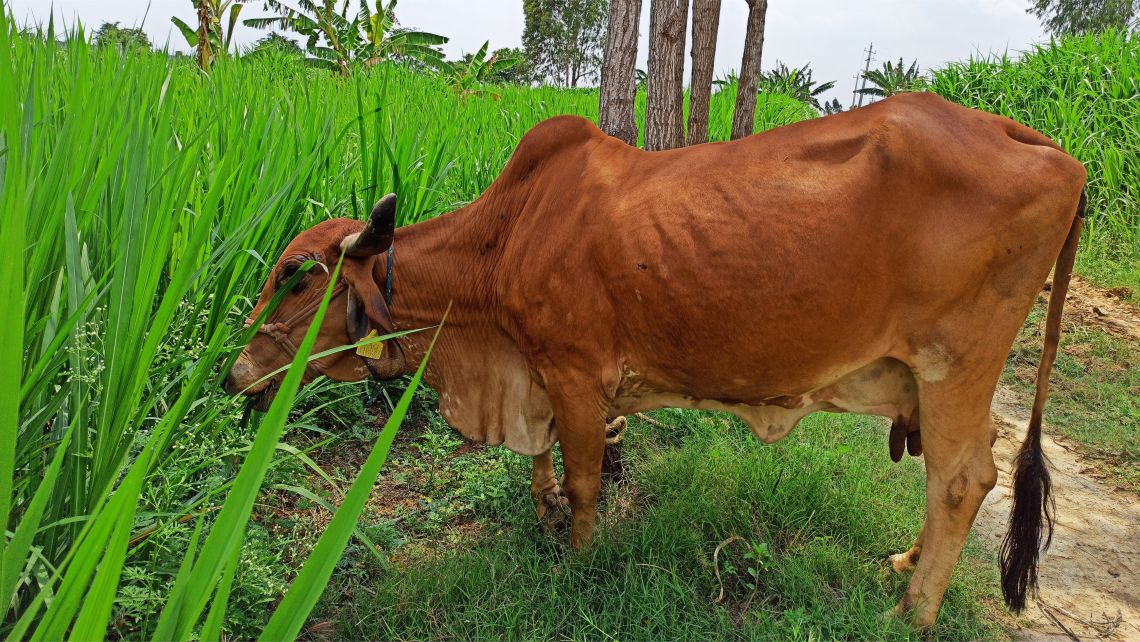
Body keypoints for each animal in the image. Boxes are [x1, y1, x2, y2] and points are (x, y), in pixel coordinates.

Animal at [224, 92, 1085, 624]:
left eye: (296, 274)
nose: (236, 374)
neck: (505, 239)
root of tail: (1045, 147)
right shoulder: (540, 372)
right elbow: (541, 461)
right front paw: (541, 510)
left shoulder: (574, 371)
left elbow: (582, 476)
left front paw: (576, 559)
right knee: (955, 477)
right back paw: (907, 563)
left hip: (955, 364)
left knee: (963, 478)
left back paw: (912, 611)